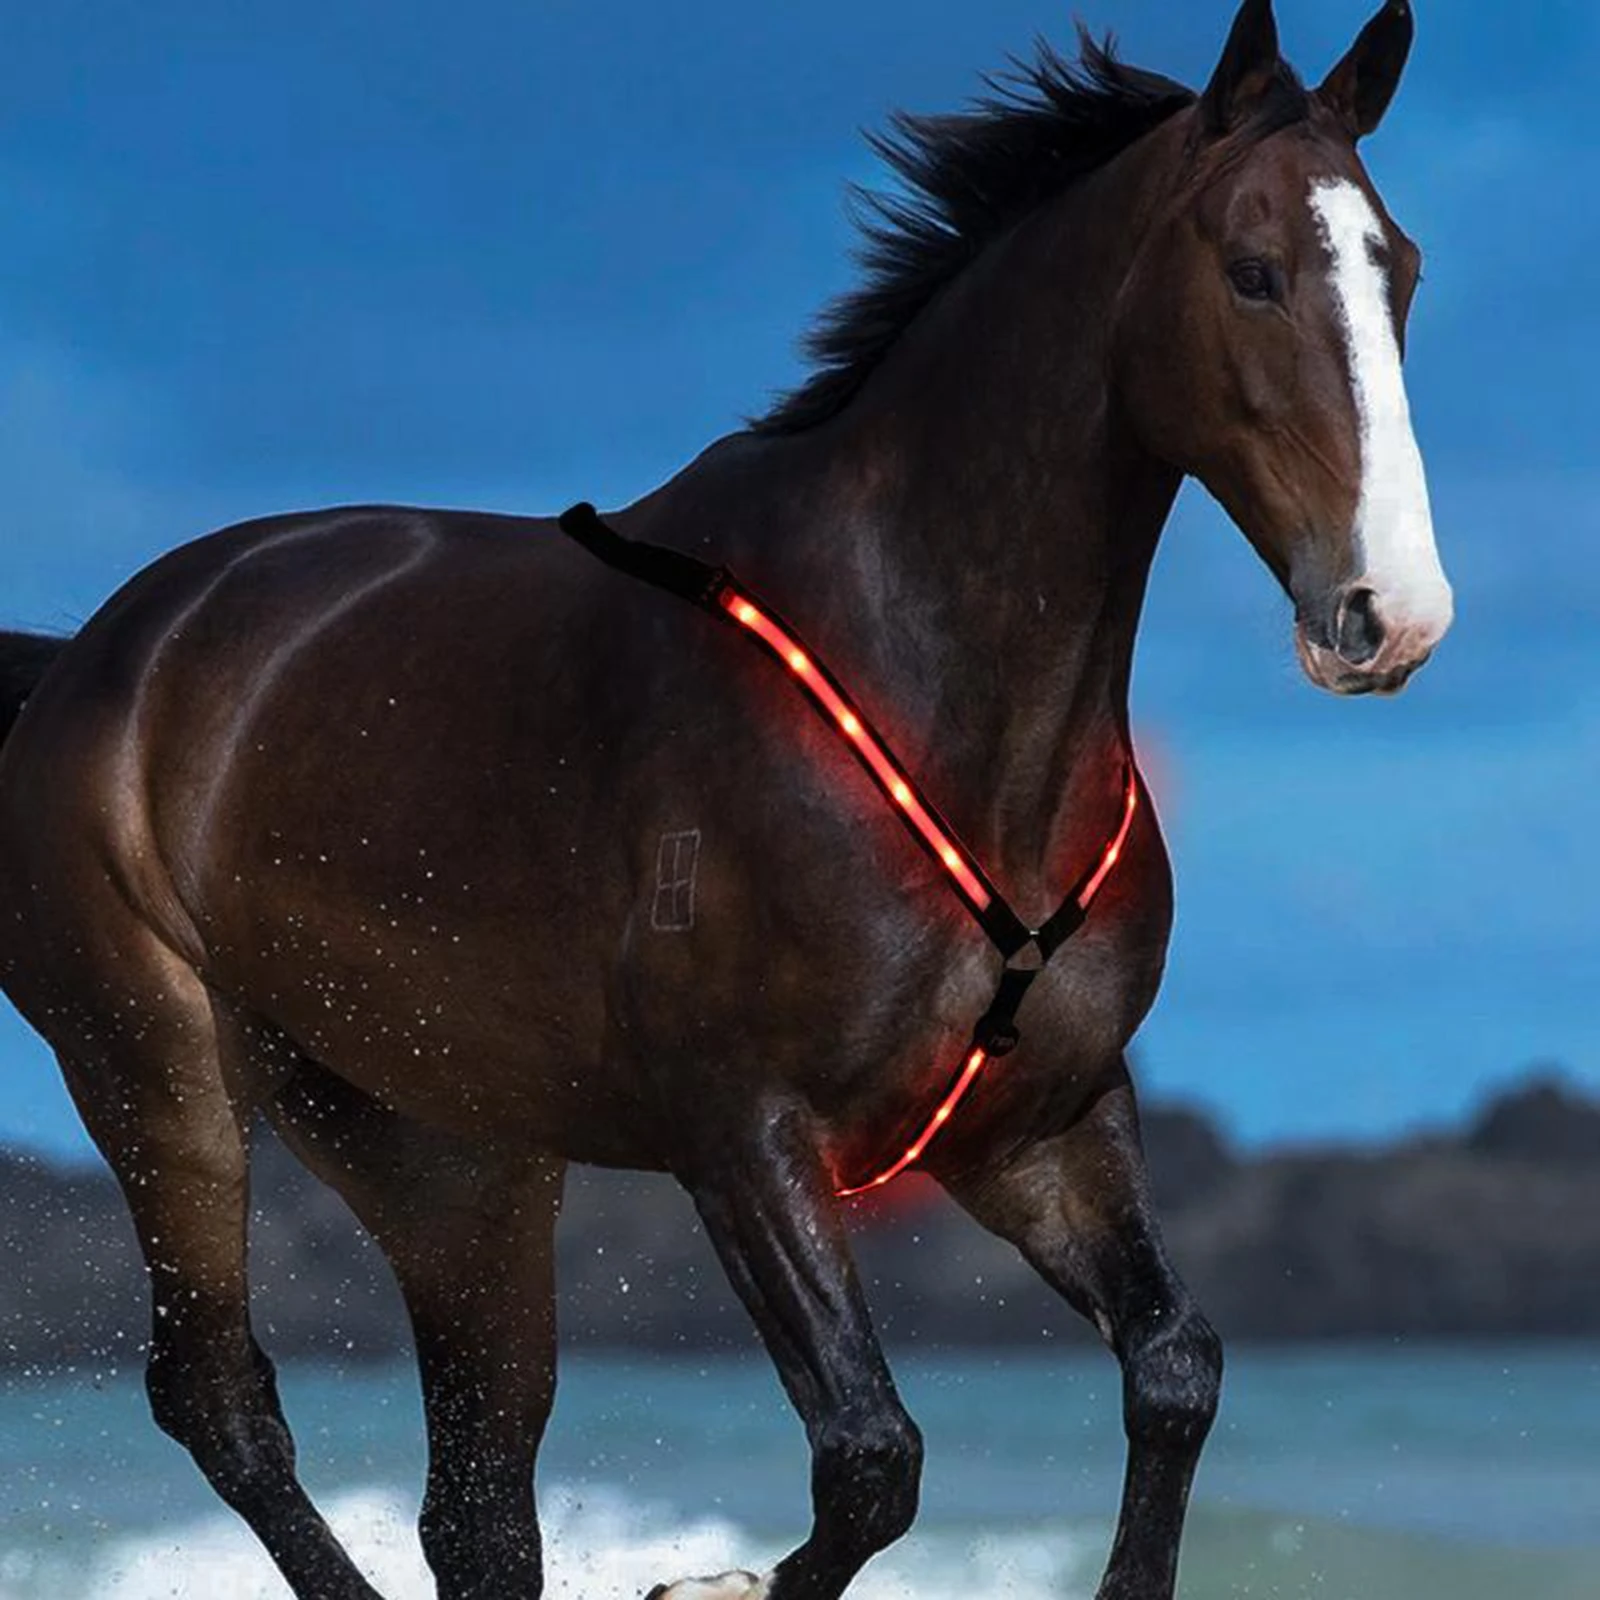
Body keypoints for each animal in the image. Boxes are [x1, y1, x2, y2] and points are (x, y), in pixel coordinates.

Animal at [0, 1, 1451, 1595]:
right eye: (1253, 271)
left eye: (1401, 269)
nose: (1388, 615)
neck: (922, 683)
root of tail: (99, 655)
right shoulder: (743, 1136)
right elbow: (873, 1456)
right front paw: (709, 1575)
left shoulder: (1041, 1127)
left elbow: (1173, 1372)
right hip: (159, 1073)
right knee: (221, 1394)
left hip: (447, 1158)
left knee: (476, 1496)